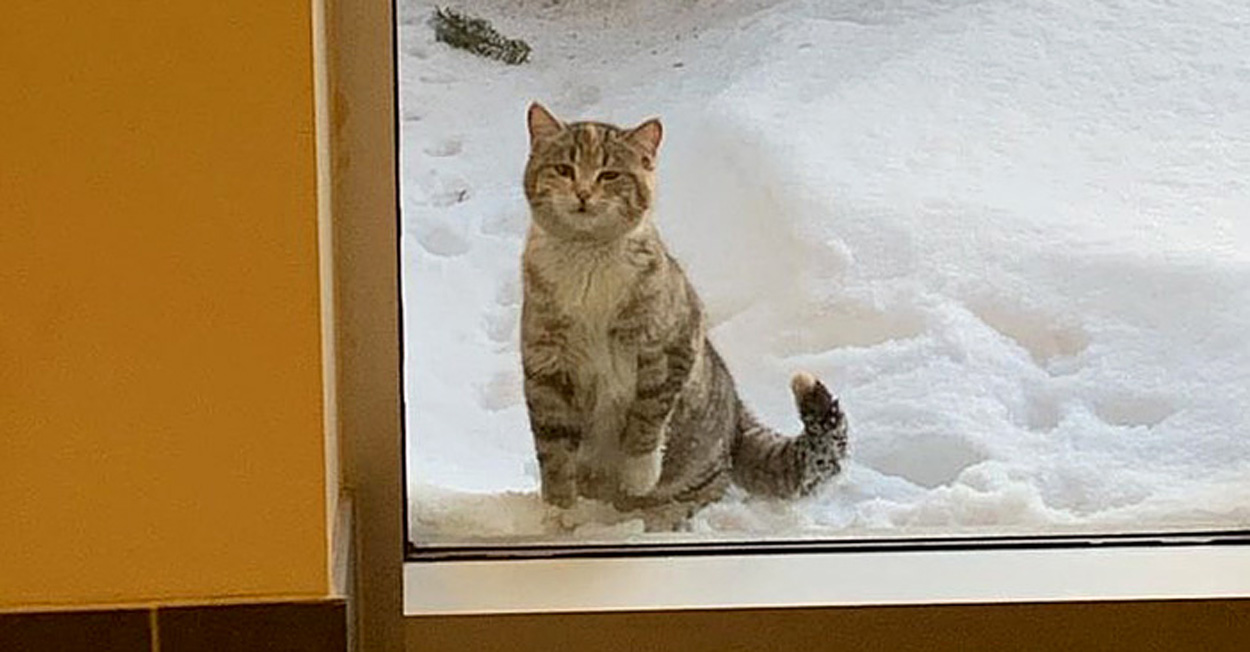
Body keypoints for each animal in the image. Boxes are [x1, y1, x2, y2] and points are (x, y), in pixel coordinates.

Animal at [520, 102, 848, 530]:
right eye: (563, 168)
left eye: (609, 174)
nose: (583, 193)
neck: (587, 259)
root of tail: (738, 414)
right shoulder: (546, 364)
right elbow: (553, 446)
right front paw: (560, 510)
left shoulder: (670, 344)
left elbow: (647, 418)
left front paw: (638, 475)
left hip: (700, 459)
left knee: (713, 484)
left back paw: (659, 514)